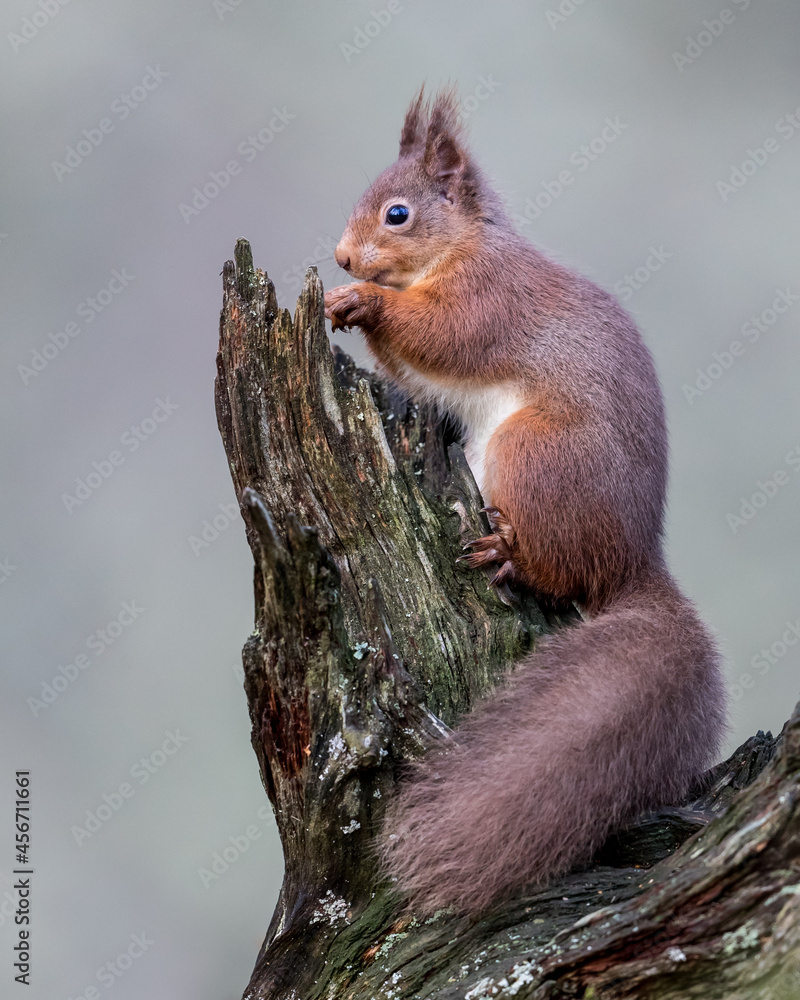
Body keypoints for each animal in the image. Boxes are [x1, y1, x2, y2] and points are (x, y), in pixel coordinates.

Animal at [324, 86, 728, 917]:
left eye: (398, 214)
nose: (342, 258)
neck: (462, 248)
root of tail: (634, 560)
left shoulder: (490, 298)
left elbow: (442, 333)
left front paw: (363, 301)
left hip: (531, 453)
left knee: (558, 569)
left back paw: (505, 553)